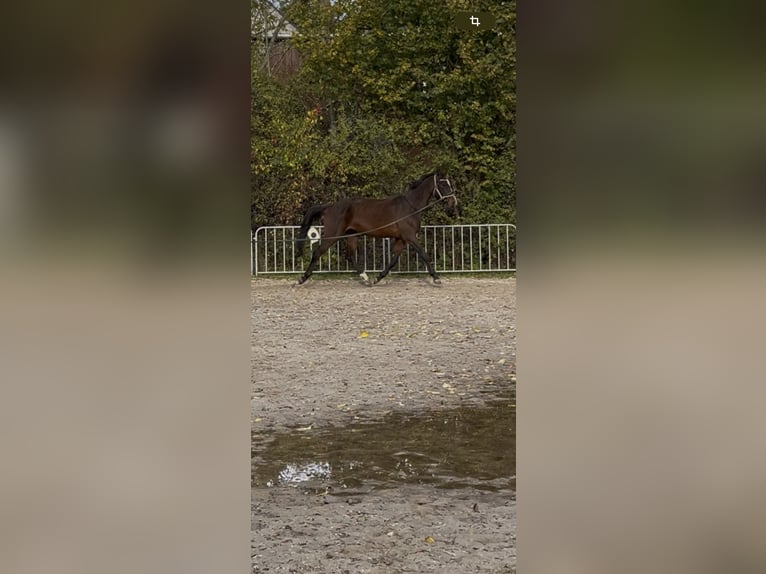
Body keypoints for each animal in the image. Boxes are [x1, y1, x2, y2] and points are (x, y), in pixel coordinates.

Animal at [295, 172, 458, 286]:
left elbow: (393, 261)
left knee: (349, 256)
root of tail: (329, 207)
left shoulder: (401, 239)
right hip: (333, 235)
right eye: (443, 184)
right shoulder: (410, 237)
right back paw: (301, 279)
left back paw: (366, 279)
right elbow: (424, 254)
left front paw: (378, 278)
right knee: (317, 253)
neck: (410, 207)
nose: (453, 202)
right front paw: (436, 279)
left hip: (351, 235)